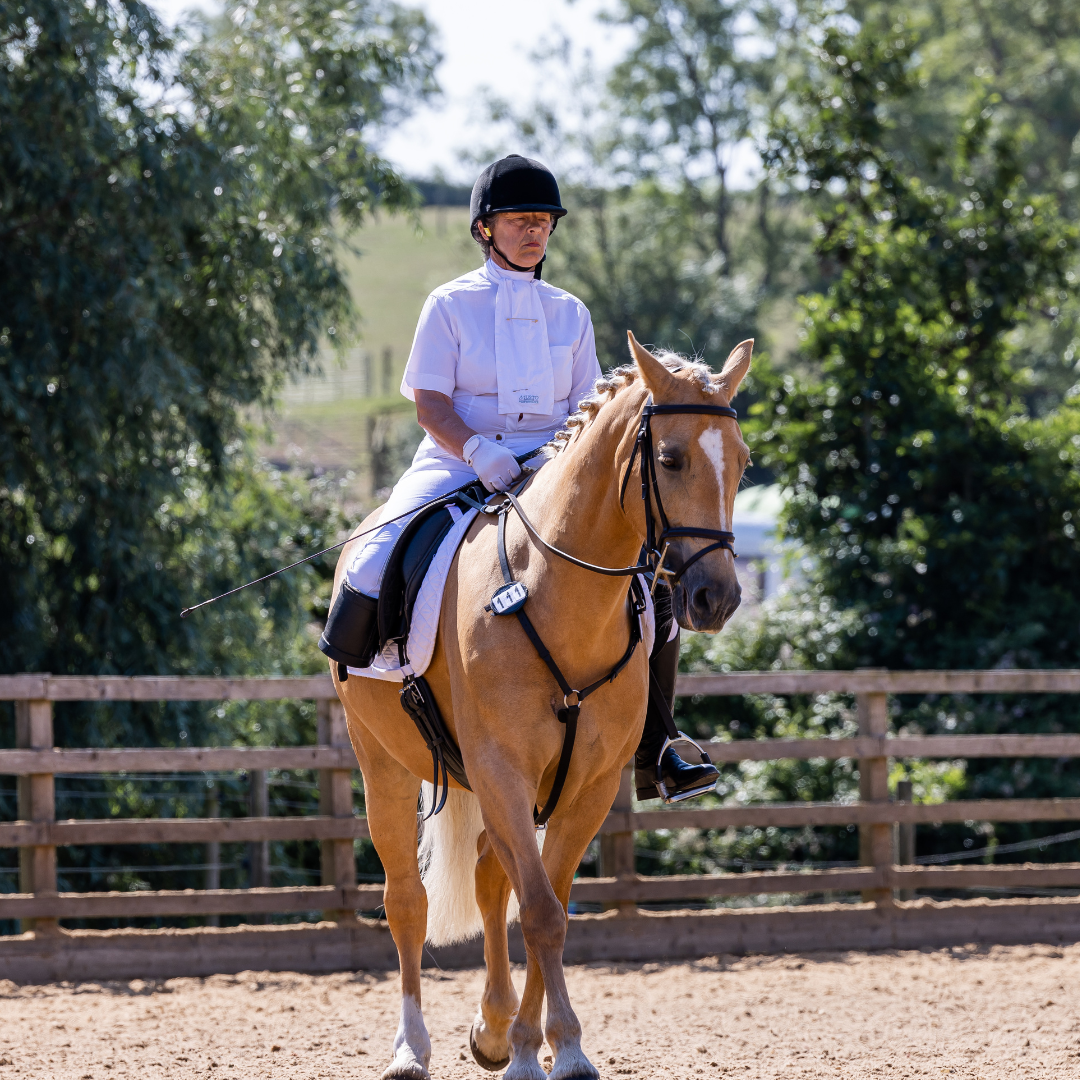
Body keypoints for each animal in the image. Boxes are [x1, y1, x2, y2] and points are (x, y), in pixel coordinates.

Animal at [329, 332, 752, 1080]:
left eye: (743, 461)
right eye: (670, 458)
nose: (716, 598)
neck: (550, 591)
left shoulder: (587, 785)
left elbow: (546, 907)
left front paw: (543, 1045)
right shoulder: (502, 771)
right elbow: (540, 911)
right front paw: (555, 1050)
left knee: (491, 880)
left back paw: (495, 1030)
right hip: (383, 764)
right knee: (407, 900)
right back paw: (411, 1048)